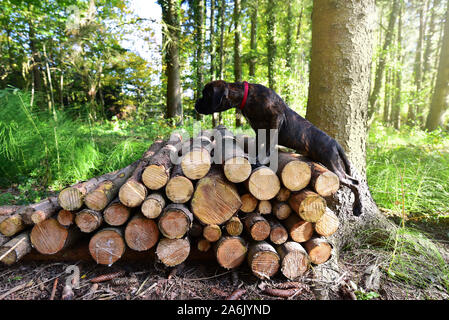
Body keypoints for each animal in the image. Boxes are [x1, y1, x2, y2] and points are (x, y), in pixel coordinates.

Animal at [192, 79, 360, 216]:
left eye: (206, 94)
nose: (195, 104)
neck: (246, 96)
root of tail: (334, 142)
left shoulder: (275, 119)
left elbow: (268, 145)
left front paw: (260, 160)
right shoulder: (260, 130)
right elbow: (260, 144)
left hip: (332, 164)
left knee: (353, 184)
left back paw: (358, 208)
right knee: (355, 181)